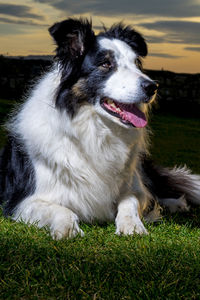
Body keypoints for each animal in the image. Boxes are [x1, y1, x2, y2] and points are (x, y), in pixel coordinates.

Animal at [0, 18, 200, 239]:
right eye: (106, 64)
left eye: (136, 63)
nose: (152, 87)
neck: (95, 130)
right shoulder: (21, 201)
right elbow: (61, 209)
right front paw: (67, 228)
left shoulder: (134, 187)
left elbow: (130, 201)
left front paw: (132, 225)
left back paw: (176, 204)